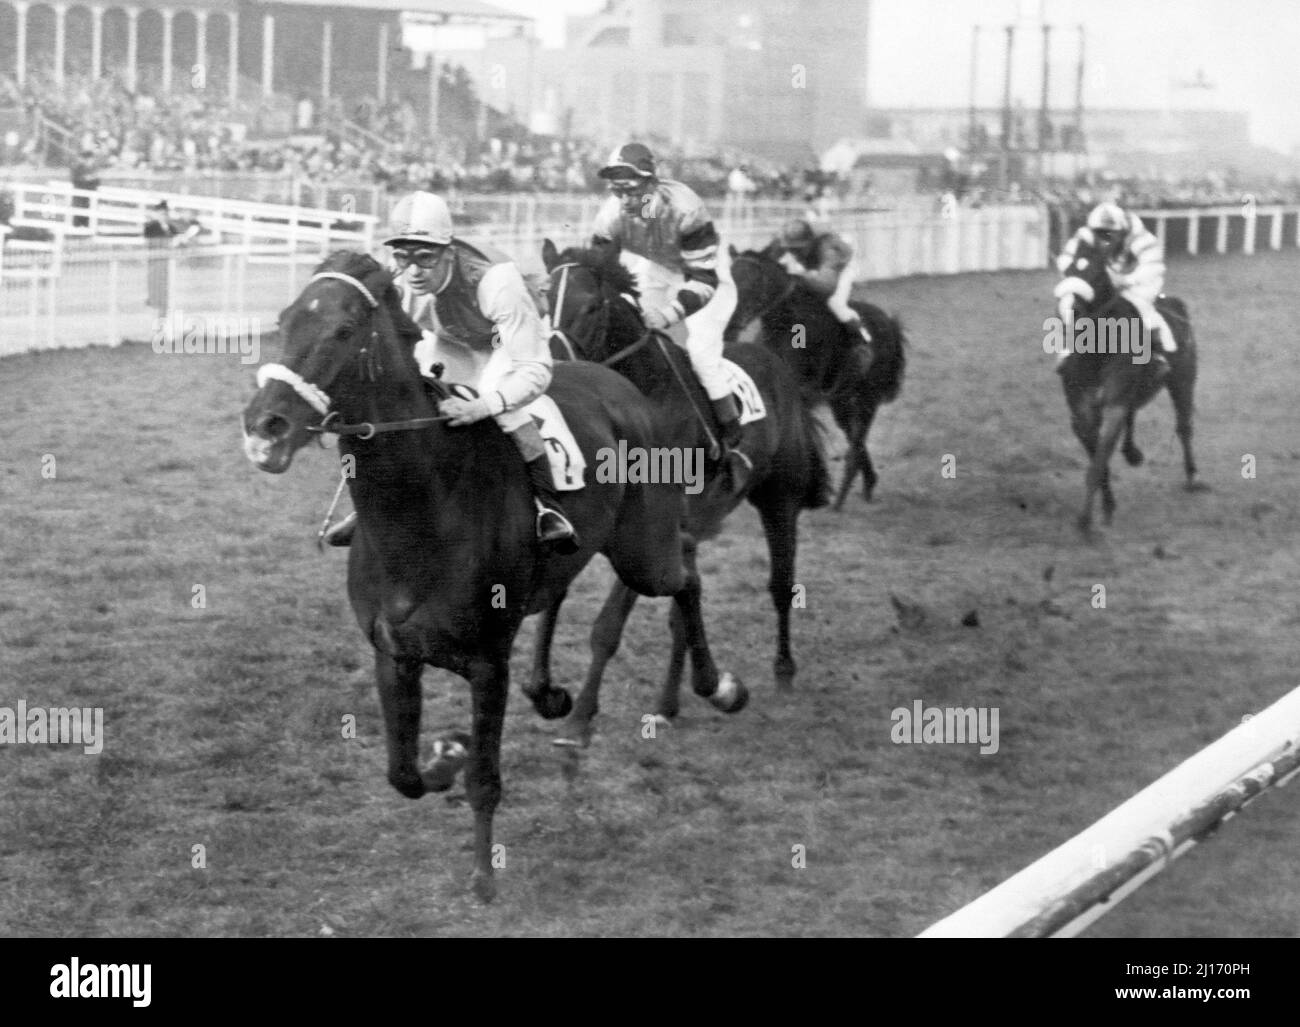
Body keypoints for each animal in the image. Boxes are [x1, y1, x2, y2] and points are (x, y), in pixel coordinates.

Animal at [241, 253, 743, 904]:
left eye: (344, 331)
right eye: (283, 321)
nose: (264, 428)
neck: (422, 512)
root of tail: (618, 380)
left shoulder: (487, 663)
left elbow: (485, 778)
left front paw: (482, 876)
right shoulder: (392, 653)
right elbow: (402, 774)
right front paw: (447, 753)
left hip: (642, 549)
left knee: (683, 572)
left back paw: (716, 685)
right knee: (590, 583)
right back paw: (556, 693)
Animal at [728, 245, 909, 509]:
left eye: (756, 280)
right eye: (728, 279)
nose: (731, 323)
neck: (786, 328)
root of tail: (889, 322)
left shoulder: (802, 395)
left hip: (867, 397)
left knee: (857, 441)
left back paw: (841, 498)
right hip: (841, 401)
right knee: (855, 437)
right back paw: (868, 483)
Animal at [1050, 232, 1201, 538]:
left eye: (1096, 272)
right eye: (1068, 271)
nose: (1071, 309)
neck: (1097, 354)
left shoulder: (1113, 406)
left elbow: (1097, 463)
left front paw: (1085, 521)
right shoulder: (1082, 415)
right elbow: (1100, 461)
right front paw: (1107, 507)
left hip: (1183, 380)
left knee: (1184, 428)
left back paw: (1192, 477)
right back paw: (1132, 453)